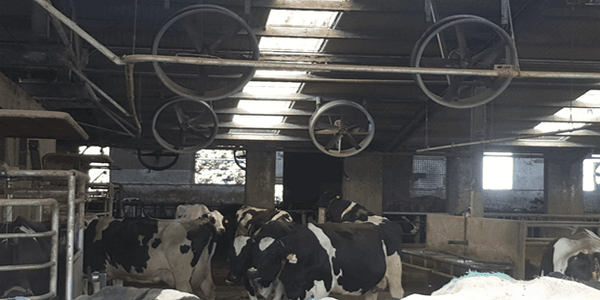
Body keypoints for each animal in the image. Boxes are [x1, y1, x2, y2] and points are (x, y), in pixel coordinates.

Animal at [83, 217, 217, 298]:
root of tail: (201, 222)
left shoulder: (97, 269)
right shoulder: (118, 275)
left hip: (182, 278)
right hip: (205, 276)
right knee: (209, 290)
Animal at [246, 221, 406, 300]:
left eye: (272, 253)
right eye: (253, 253)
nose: (252, 272)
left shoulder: (322, 287)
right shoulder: (293, 290)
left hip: (395, 275)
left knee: (398, 292)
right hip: (372, 285)